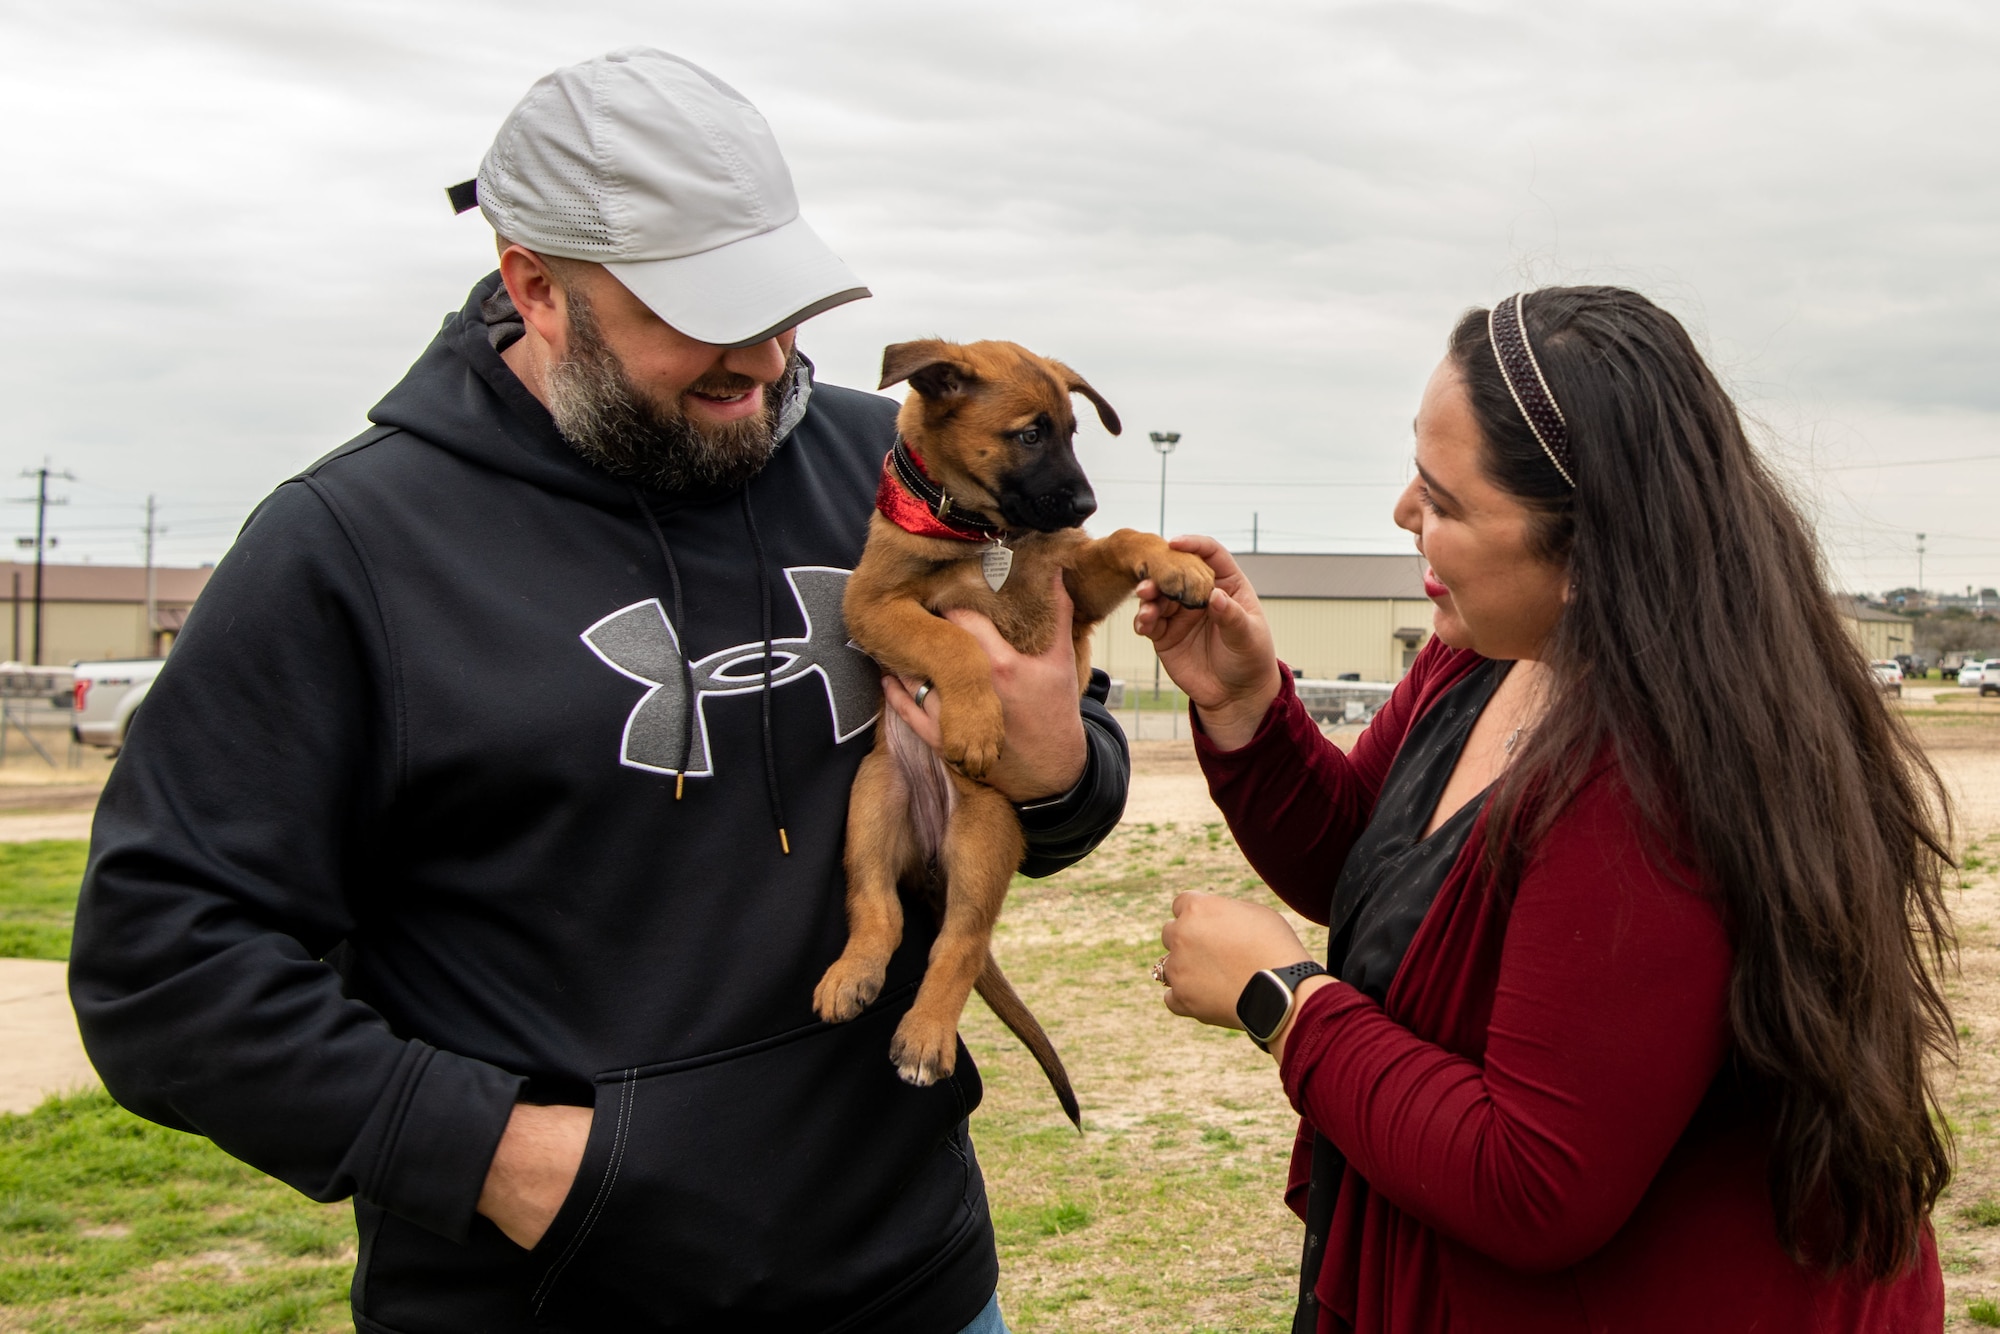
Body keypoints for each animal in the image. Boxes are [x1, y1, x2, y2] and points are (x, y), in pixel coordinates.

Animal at [812, 340, 1216, 1120]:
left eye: (1072, 432)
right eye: (1029, 435)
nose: (1085, 504)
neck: (983, 534)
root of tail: (931, 851)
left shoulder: (1075, 587)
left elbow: (1127, 537)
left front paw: (1177, 563)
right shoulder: (872, 604)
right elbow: (951, 640)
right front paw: (975, 720)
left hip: (982, 832)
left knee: (958, 938)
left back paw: (919, 1030)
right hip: (874, 804)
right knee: (884, 913)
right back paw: (872, 992)